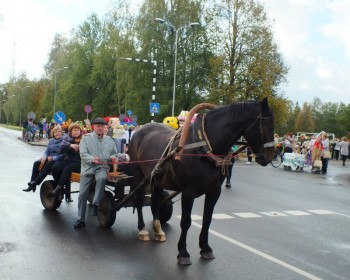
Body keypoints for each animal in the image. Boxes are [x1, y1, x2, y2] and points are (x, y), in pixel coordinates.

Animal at [127, 98, 274, 264]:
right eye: (266, 125)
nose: (270, 157)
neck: (204, 146)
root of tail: (140, 130)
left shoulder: (214, 191)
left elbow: (207, 219)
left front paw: (205, 248)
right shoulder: (188, 192)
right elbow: (186, 221)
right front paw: (183, 252)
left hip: (157, 178)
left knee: (155, 200)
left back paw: (158, 230)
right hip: (138, 176)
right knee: (139, 201)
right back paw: (142, 229)